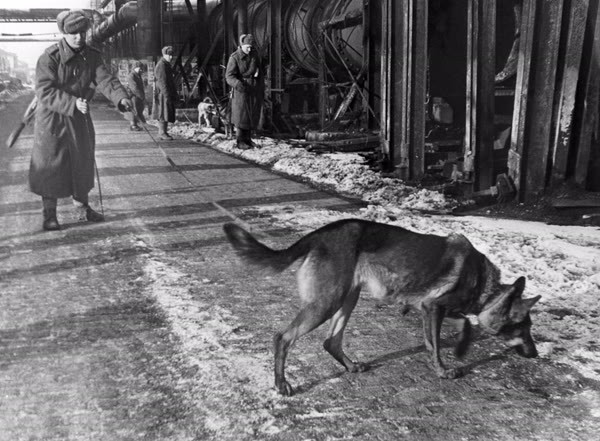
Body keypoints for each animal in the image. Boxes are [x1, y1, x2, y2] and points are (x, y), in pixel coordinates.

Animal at [223, 220, 540, 396]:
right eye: (524, 327)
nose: (536, 354)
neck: (484, 285)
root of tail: (320, 234)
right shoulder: (433, 306)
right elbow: (445, 338)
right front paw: (445, 367)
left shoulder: (427, 308)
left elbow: (452, 328)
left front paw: (455, 351)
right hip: (327, 303)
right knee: (284, 337)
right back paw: (281, 384)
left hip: (347, 297)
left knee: (331, 341)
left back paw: (351, 366)